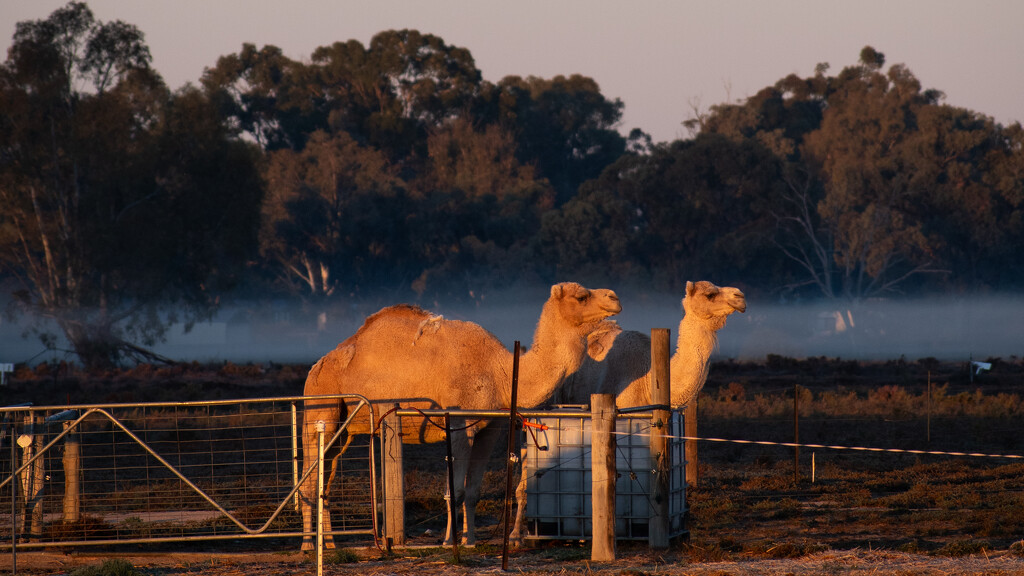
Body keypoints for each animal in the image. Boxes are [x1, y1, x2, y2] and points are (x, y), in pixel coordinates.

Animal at [296, 280, 622, 549]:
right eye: (581, 296)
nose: (615, 297)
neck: (501, 373)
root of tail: (316, 366)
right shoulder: (459, 424)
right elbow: (456, 490)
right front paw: (449, 543)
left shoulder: (492, 427)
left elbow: (474, 490)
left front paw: (471, 541)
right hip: (319, 407)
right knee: (310, 478)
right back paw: (308, 546)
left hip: (344, 430)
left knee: (325, 478)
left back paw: (330, 544)